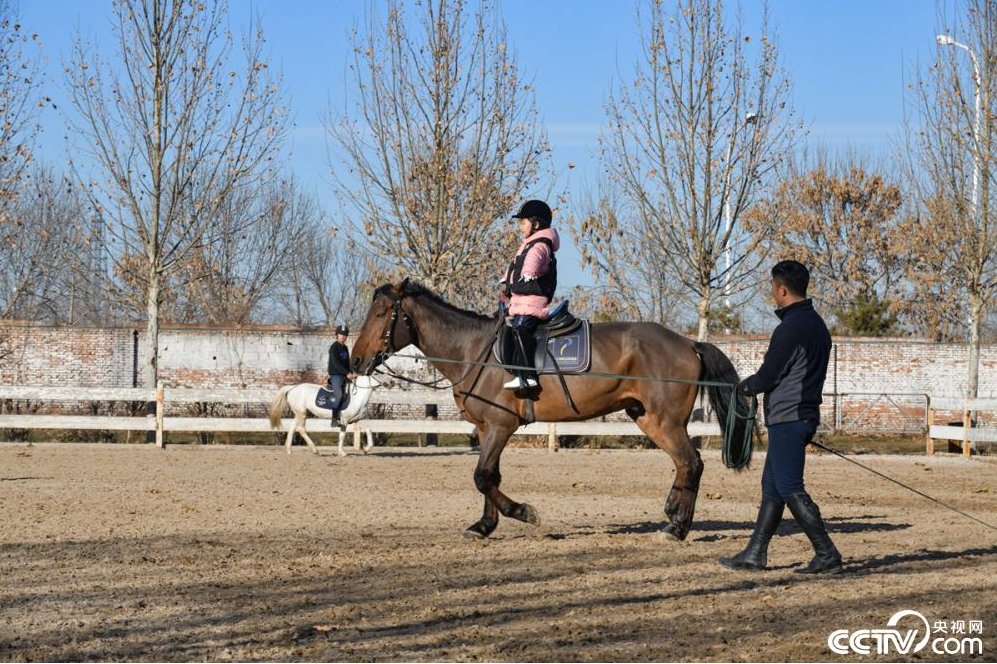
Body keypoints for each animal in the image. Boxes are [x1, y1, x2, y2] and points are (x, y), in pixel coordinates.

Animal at [350, 278, 748, 544]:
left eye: (382, 313)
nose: (355, 360)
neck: (472, 349)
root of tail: (688, 343)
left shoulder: (501, 425)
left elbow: (482, 476)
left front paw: (524, 513)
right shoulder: (486, 428)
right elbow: (490, 477)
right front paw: (484, 526)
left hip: (665, 420)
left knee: (692, 463)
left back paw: (677, 528)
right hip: (649, 419)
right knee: (683, 464)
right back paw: (672, 515)